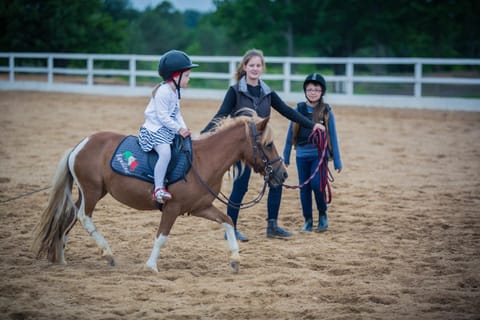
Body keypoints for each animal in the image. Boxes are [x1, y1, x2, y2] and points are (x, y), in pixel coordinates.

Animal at [31, 115, 286, 272]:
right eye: (269, 144)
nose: (282, 174)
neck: (202, 161)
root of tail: (79, 145)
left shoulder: (200, 208)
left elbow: (227, 221)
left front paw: (235, 258)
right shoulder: (172, 208)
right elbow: (161, 237)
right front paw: (151, 266)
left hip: (88, 193)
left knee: (69, 218)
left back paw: (61, 258)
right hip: (92, 192)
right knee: (84, 217)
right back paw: (107, 253)